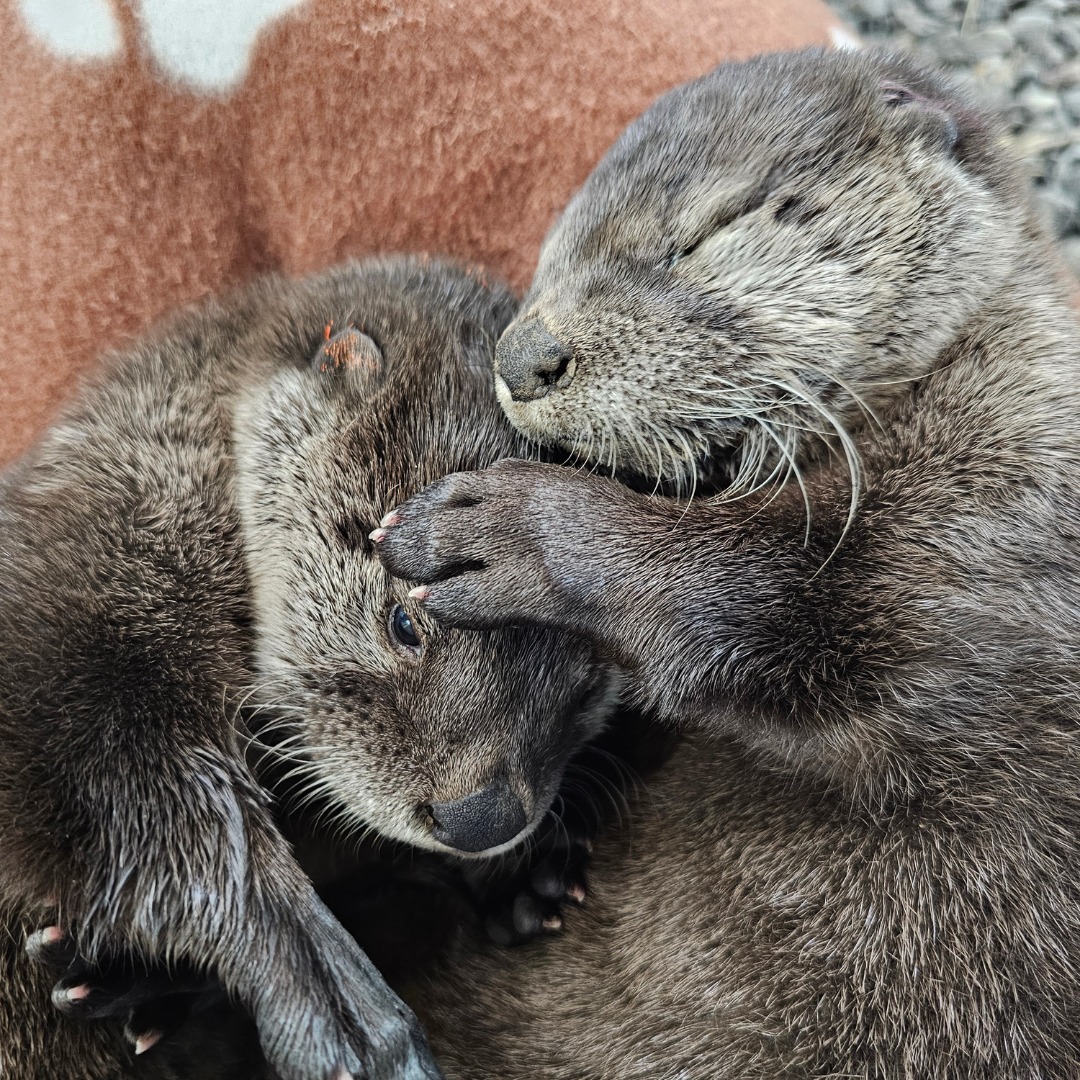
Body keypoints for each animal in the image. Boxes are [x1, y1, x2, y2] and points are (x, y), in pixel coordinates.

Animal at [0, 257, 618, 1080]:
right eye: (405, 623)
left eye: (584, 689)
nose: (483, 819)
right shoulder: (81, 630)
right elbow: (159, 809)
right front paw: (348, 1022)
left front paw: (526, 877)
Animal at [374, 49, 1080, 1076]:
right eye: (545, 261)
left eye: (700, 238)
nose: (524, 353)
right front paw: (528, 881)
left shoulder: (1000, 506)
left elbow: (787, 597)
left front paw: (500, 529)